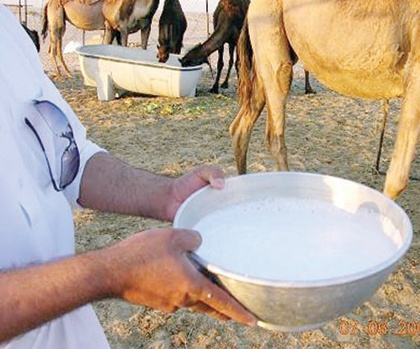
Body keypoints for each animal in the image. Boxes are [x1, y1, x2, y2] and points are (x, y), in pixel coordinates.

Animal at [230, 0, 420, 200]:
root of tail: (252, 5)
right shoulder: (415, 77)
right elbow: (397, 179)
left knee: (241, 126)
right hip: (271, 42)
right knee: (274, 134)